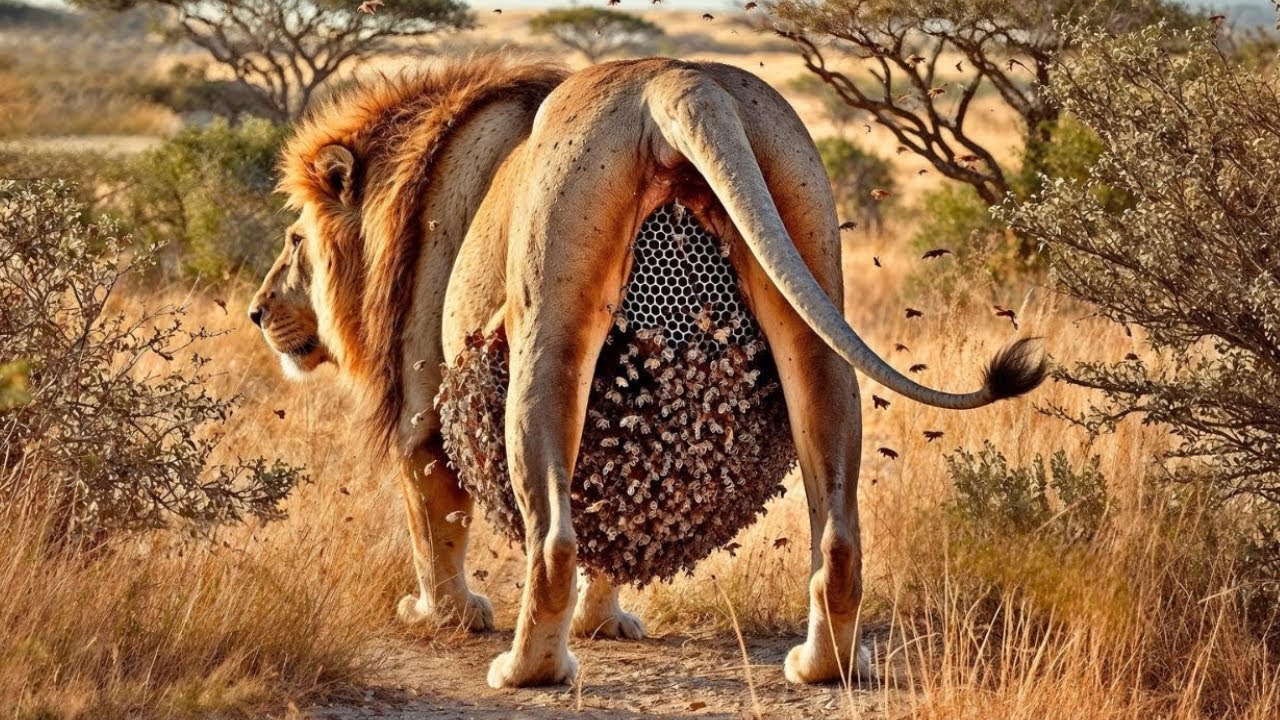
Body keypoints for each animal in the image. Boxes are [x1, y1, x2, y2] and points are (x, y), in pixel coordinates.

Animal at [248, 55, 1046, 689]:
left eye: (293, 239)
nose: (257, 311)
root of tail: (678, 83)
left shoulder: (421, 404)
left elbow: (433, 520)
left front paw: (444, 614)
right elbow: (622, 514)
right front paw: (605, 622)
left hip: (546, 324)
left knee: (553, 539)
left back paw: (527, 668)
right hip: (811, 280)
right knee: (838, 533)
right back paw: (825, 666)